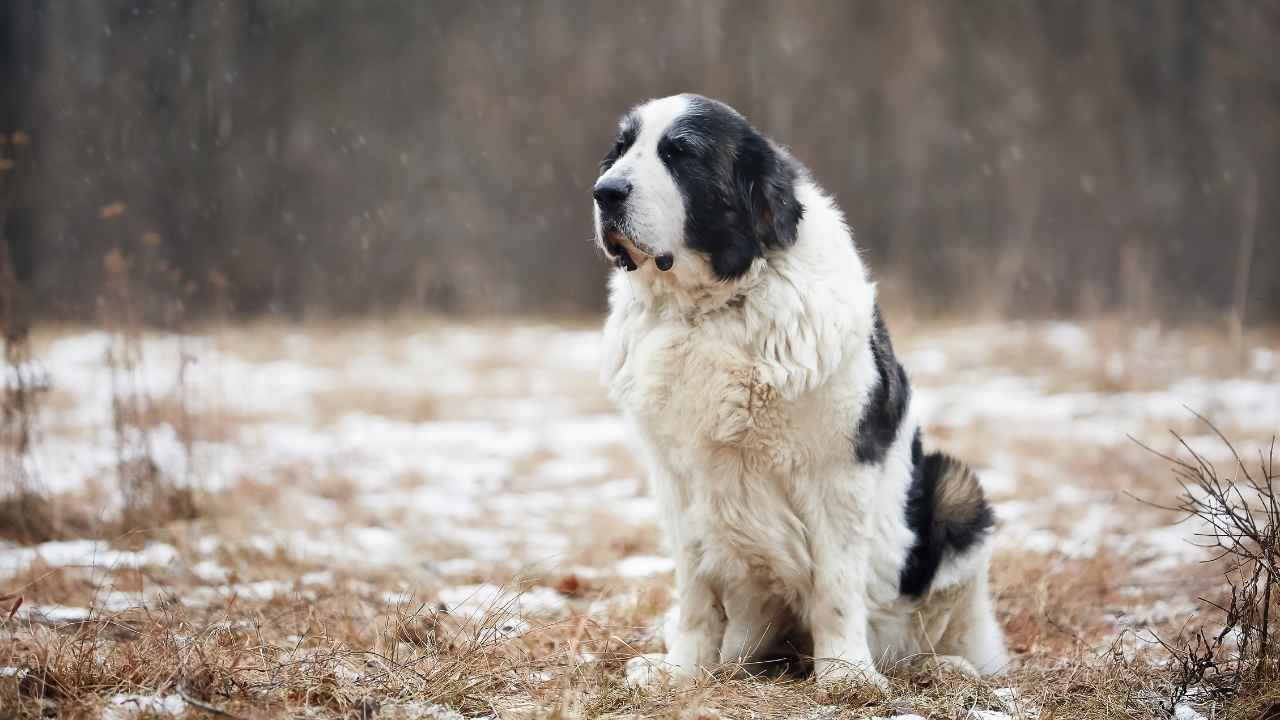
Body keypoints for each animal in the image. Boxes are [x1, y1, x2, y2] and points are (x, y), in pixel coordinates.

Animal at [591, 94, 1008, 681]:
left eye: (680, 154)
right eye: (622, 148)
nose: (605, 191)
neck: (712, 308)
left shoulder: (838, 469)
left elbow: (836, 583)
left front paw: (847, 676)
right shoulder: (675, 477)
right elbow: (695, 587)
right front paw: (683, 670)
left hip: (957, 496)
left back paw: (944, 667)